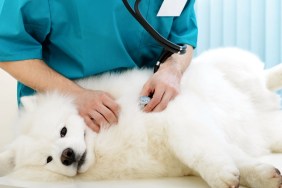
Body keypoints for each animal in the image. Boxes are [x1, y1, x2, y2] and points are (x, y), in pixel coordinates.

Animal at [0, 47, 282, 187]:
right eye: (48, 160)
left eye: (63, 131)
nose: (66, 155)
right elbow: (233, 156)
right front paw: (257, 175)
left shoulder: (177, 116)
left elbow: (199, 149)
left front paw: (221, 174)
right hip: (266, 124)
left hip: (230, 67)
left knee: (262, 78)